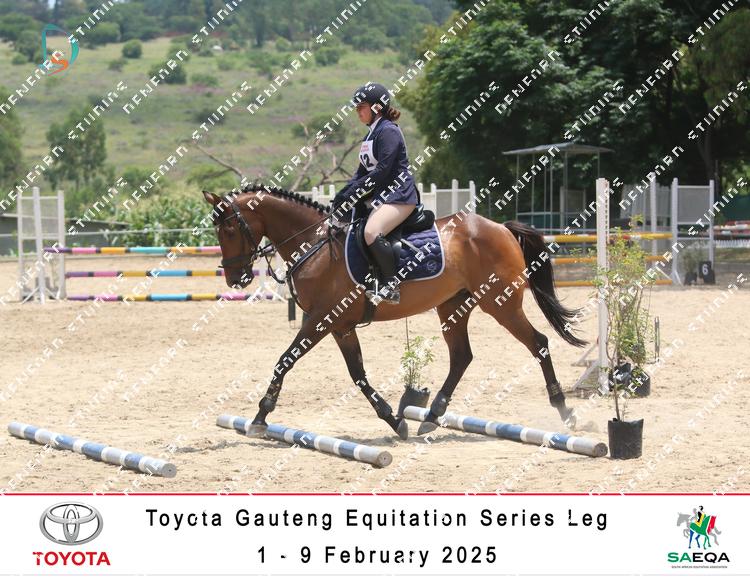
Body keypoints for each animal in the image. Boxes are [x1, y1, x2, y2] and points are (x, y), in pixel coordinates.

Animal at [202, 184, 585, 440]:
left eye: (230, 228)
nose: (236, 278)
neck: (315, 244)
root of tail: (501, 227)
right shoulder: (339, 326)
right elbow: (358, 374)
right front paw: (394, 419)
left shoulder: (321, 320)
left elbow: (285, 360)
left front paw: (259, 417)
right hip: (454, 305)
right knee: (462, 356)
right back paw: (431, 415)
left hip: (501, 303)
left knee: (538, 343)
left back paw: (565, 412)